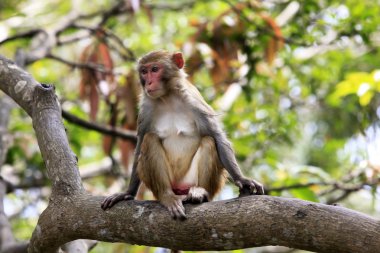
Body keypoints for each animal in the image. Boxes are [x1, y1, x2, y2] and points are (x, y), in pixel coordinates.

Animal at [100, 50, 264, 219]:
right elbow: (140, 145)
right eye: (144, 72)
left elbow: (217, 137)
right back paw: (167, 196)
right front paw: (127, 193)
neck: (167, 98)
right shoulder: (146, 108)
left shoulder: (194, 101)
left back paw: (199, 193)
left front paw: (242, 179)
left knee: (209, 141)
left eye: (154, 69)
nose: (149, 83)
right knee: (149, 139)